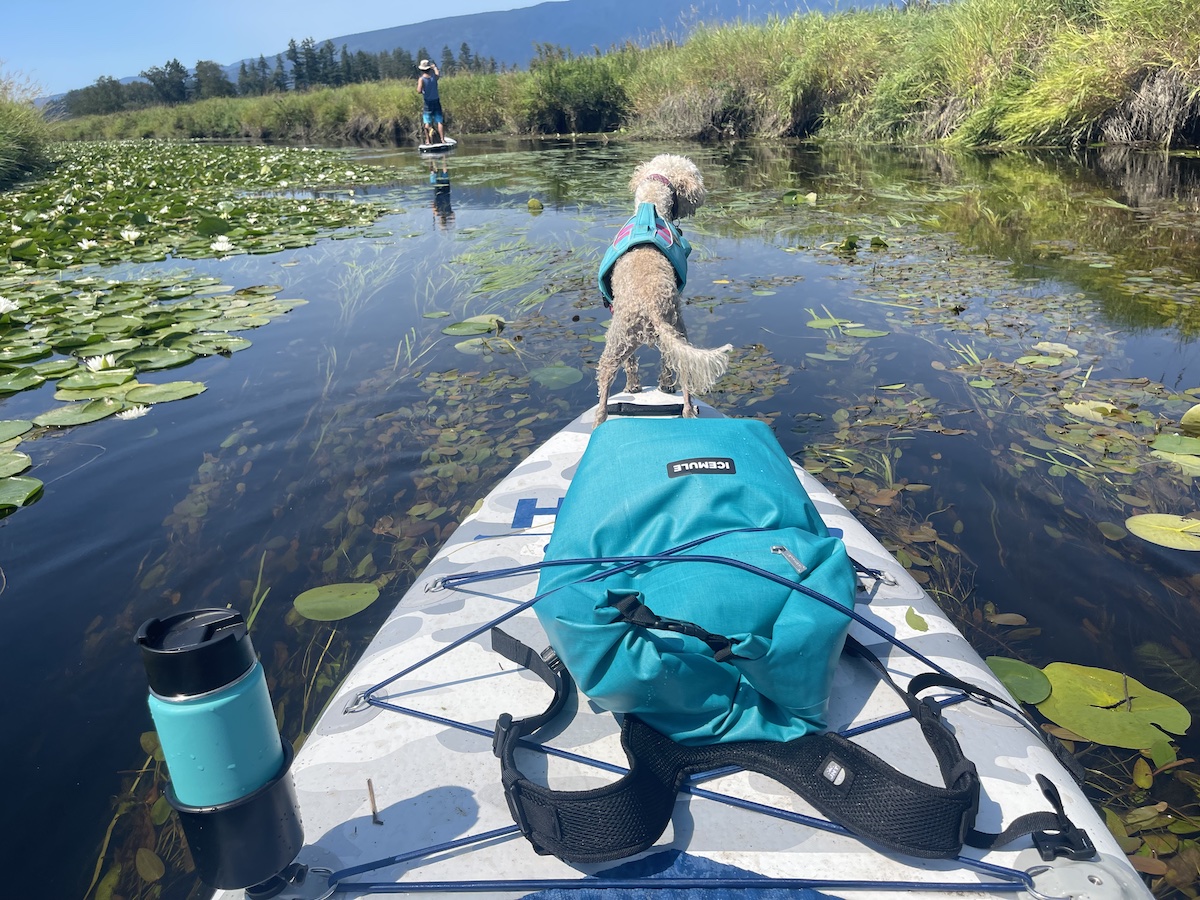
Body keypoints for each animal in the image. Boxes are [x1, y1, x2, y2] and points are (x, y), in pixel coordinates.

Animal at [592, 156, 729, 429]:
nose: (702, 195)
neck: (651, 208)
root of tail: (651, 306)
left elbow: (632, 366)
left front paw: (633, 388)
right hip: (669, 335)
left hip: (620, 342)